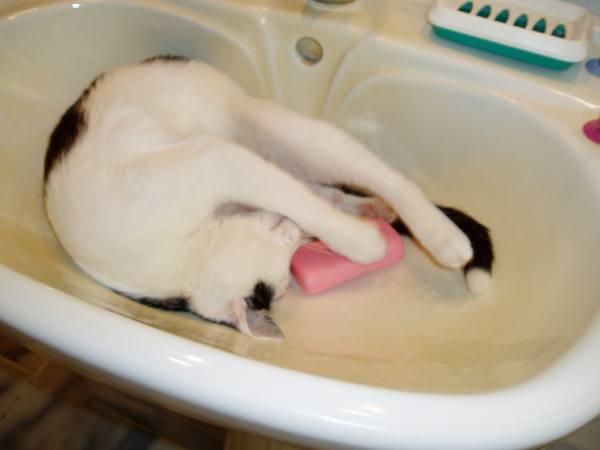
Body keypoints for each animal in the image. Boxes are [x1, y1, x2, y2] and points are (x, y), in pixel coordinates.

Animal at [41, 55, 492, 338]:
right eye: (286, 275)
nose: (300, 238)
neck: (185, 257)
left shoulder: (214, 161)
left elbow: (297, 200)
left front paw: (360, 243)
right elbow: (300, 198)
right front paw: (352, 232)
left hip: (274, 126)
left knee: (384, 176)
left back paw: (442, 235)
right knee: (320, 187)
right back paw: (370, 209)